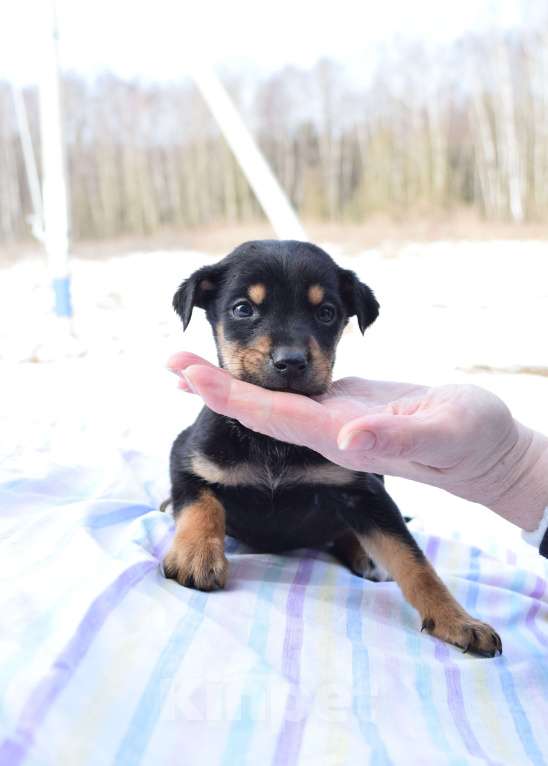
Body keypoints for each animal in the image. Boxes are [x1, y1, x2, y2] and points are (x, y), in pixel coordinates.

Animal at [162, 242, 500, 660]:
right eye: (243, 309)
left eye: (326, 313)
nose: (291, 362)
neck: (274, 442)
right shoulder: (187, 456)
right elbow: (201, 503)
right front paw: (196, 556)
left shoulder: (363, 491)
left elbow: (413, 559)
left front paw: (458, 620)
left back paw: (366, 556)